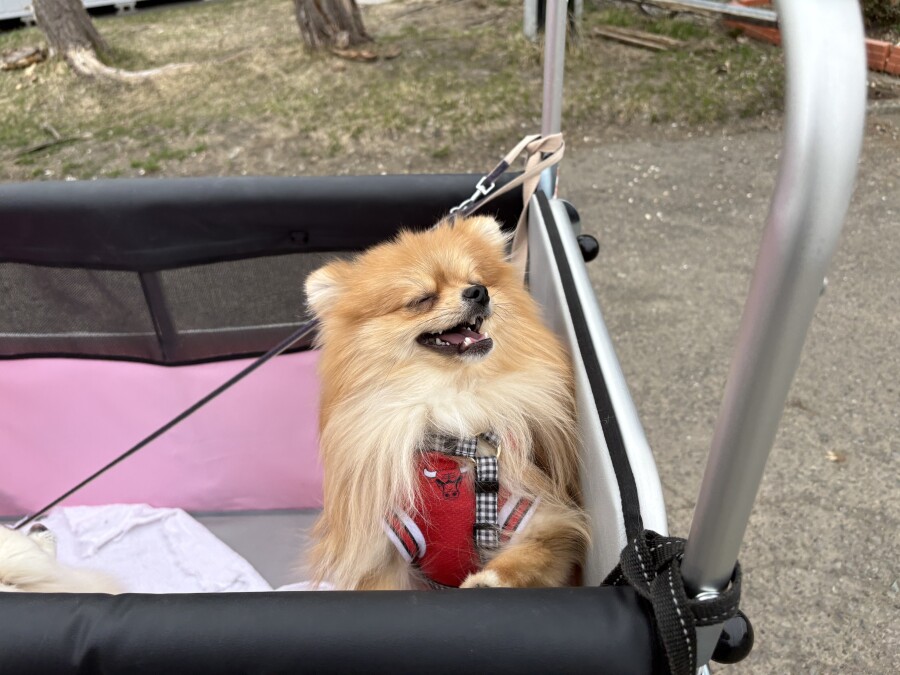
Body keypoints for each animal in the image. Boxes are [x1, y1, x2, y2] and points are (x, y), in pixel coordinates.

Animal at [305, 214, 589, 590]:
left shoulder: (541, 519)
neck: (452, 399)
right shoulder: (385, 550)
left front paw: (485, 583)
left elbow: (527, 558)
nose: (478, 293)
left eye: (477, 281)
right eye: (422, 299)